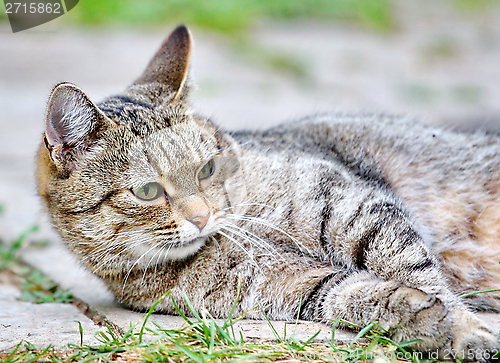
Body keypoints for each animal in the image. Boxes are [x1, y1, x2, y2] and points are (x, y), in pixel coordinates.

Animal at [36, 26, 500, 362]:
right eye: (148, 191)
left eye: (207, 169)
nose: (202, 218)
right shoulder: (296, 286)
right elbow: (355, 294)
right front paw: (422, 321)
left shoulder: (355, 206)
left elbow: (419, 272)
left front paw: (464, 328)